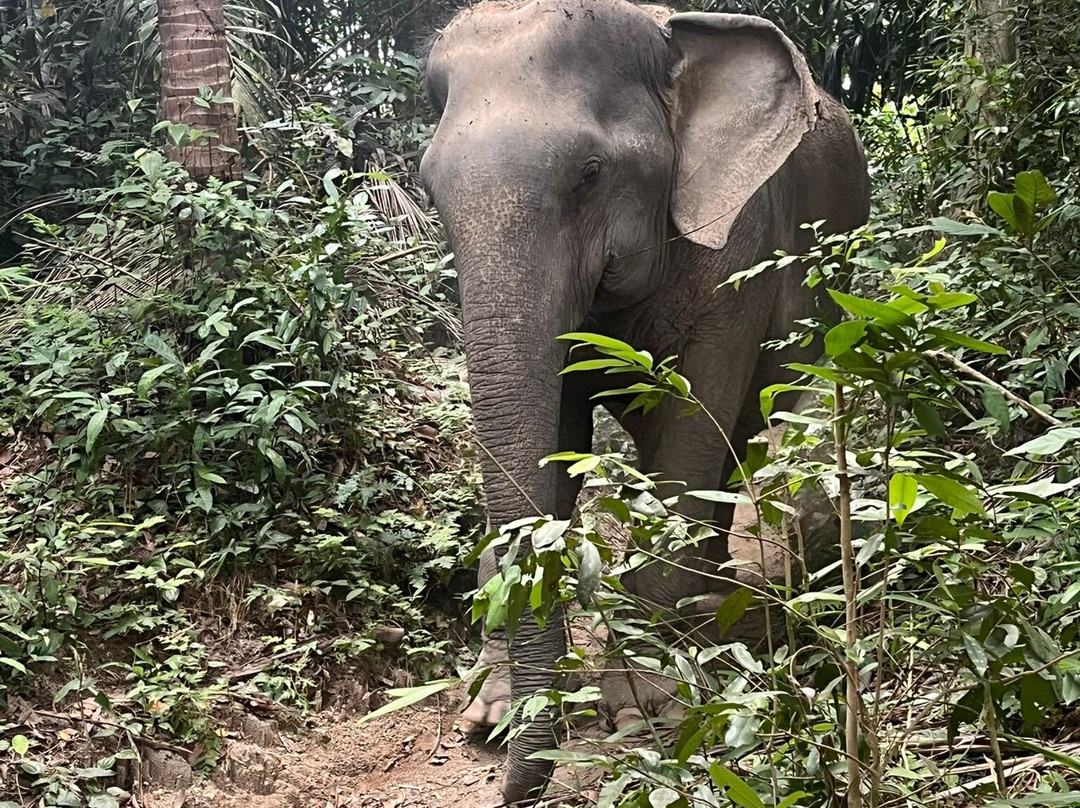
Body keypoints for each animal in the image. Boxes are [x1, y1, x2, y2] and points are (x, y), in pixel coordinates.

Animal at [418, 0, 870, 801]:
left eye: (590, 175)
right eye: (430, 192)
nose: (510, 786)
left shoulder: (742, 242)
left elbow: (691, 427)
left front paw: (641, 707)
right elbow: (559, 432)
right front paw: (492, 713)